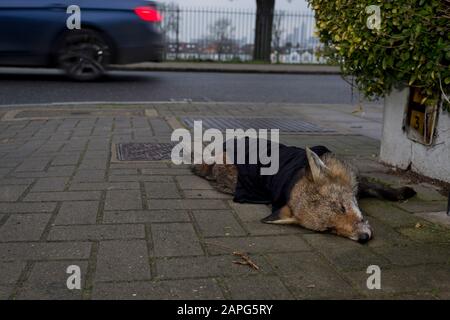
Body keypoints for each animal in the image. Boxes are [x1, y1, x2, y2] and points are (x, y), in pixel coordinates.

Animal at [192, 141, 416, 244]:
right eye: (329, 229)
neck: (296, 178)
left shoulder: (356, 179)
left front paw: (402, 192)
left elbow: (380, 189)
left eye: (343, 208)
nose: (363, 238)